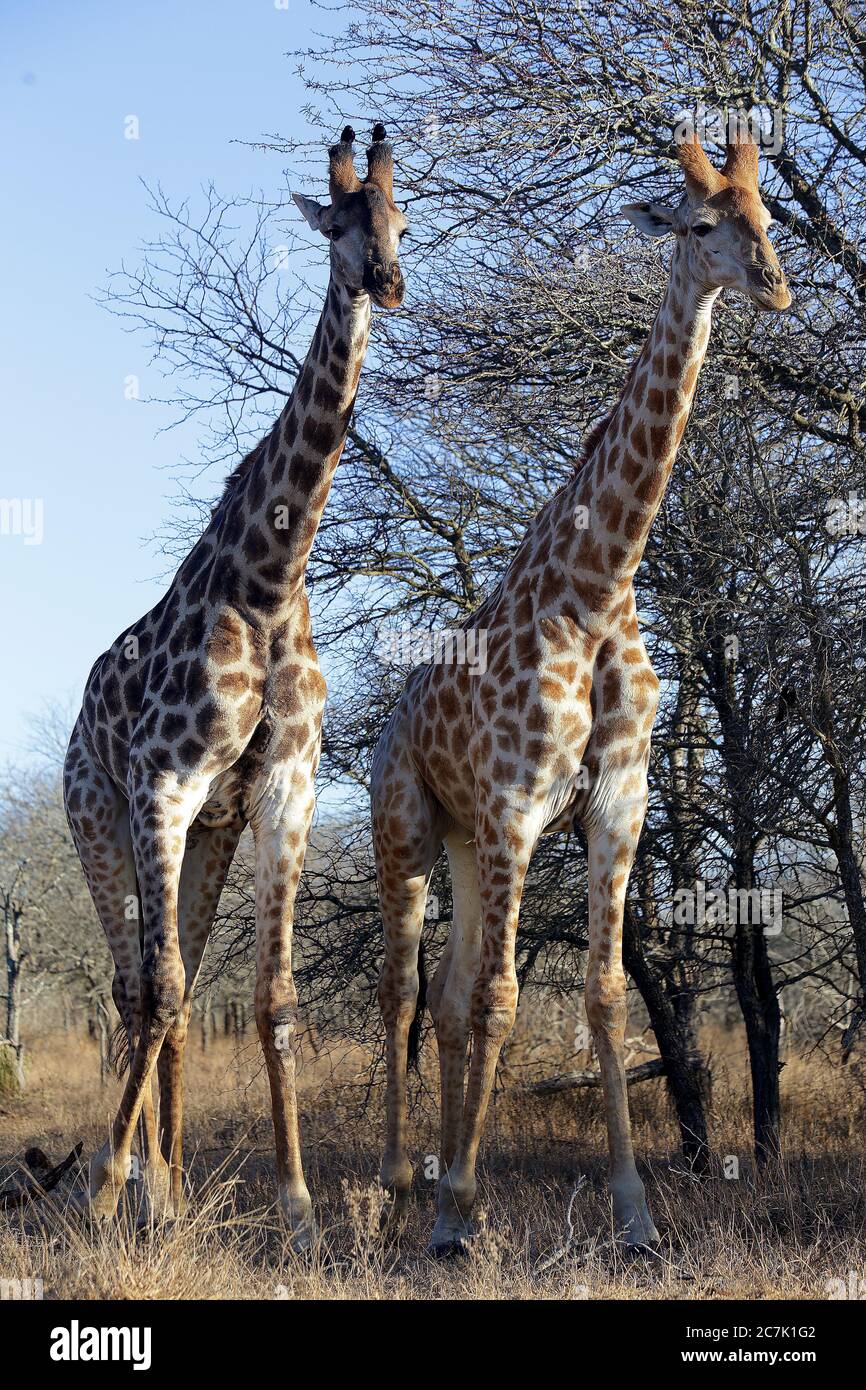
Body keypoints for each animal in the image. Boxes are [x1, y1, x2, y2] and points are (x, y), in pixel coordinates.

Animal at [62, 124, 407, 1248]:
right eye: (336, 225)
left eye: (400, 218)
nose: (386, 281)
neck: (269, 581)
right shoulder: (161, 786)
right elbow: (165, 991)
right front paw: (106, 1186)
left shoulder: (282, 789)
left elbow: (273, 999)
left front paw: (297, 1209)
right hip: (100, 818)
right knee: (135, 987)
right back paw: (130, 1186)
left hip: (206, 838)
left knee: (170, 996)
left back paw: (167, 1193)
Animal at [371, 131, 790, 1254]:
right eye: (702, 222)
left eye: (768, 215)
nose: (776, 284)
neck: (598, 586)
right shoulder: (520, 806)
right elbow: (504, 998)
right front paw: (456, 1213)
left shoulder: (616, 804)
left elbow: (601, 994)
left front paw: (635, 1214)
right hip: (410, 831)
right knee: (403, 993)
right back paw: (403, 1184)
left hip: (466, 841)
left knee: (445, 990)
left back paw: (437, 1180)